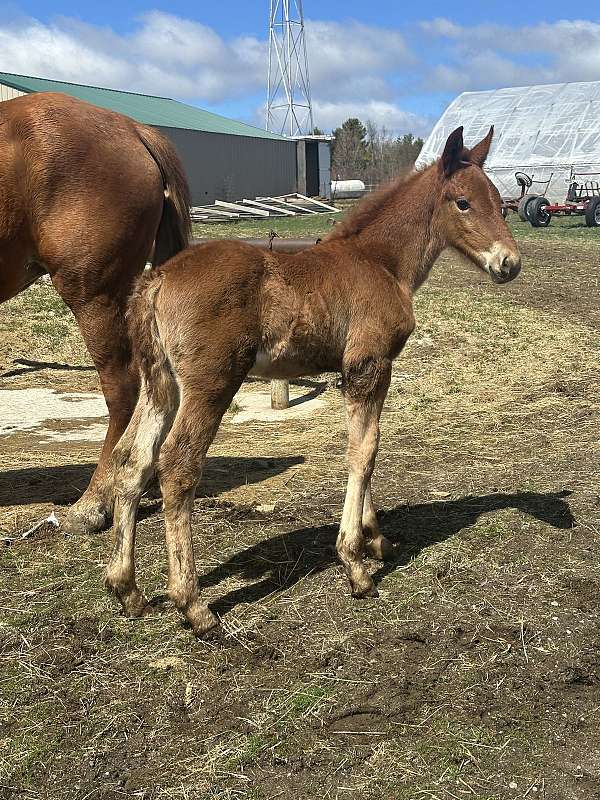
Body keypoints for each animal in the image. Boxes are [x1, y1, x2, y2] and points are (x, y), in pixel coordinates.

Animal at [105, 125, 522, 637]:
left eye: (501, 202)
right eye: (462, 202)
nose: (509, 263)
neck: (380, 262)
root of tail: (158, 278)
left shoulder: (352, 374)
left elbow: (362, 447)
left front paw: (375, 539)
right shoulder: (370, 365)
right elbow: (364, 452)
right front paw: (356, 565)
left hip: (160, 384)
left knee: (133, 461)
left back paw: (127, 589)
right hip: (209, 384)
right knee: (177, 466)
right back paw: (193, 604)